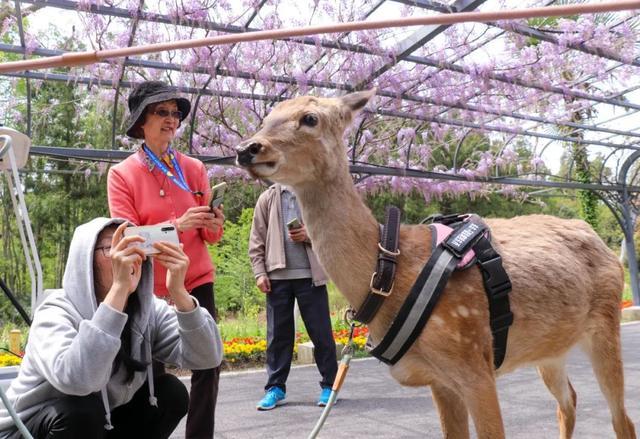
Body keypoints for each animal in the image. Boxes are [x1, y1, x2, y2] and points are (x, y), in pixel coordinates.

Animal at [234, 90, 636, 439]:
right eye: (267, 117)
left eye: (309, 118)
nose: (246, 148)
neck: (391, 274)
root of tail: (599, 240)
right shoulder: (440, 380)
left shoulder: (474, 361)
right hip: (550, 349)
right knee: (569, 402)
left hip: (605, 325)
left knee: (622, 419)